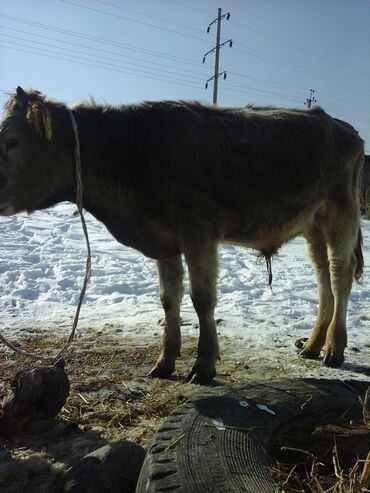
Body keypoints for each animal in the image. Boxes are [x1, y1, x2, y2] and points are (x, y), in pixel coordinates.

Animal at [0, 86, 364, 382]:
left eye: (12, 141)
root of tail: (344, 127)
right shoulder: (164, 240)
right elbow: (168, 299)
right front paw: (165, 360)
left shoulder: (198, 231)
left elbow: (202, 299)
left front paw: (204, 365)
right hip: (312, 224)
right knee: (323, 279)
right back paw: (312, 344)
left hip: (342, 213)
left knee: (339, 276)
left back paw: (334, 349)